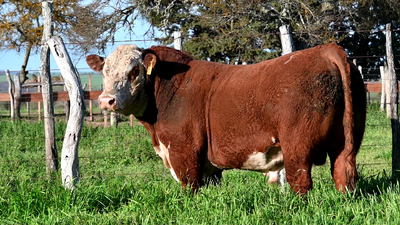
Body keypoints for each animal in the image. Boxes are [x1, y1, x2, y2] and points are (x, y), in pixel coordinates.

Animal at [86, 43, 366, 194]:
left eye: (134, 71)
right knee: (344, 175)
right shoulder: (208, 165)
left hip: (297, 146)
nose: (106, 101)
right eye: (105, 71)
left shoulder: (184, 153)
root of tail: (326, 49)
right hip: (346, 143)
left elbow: (190, 188)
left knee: (301, 182)